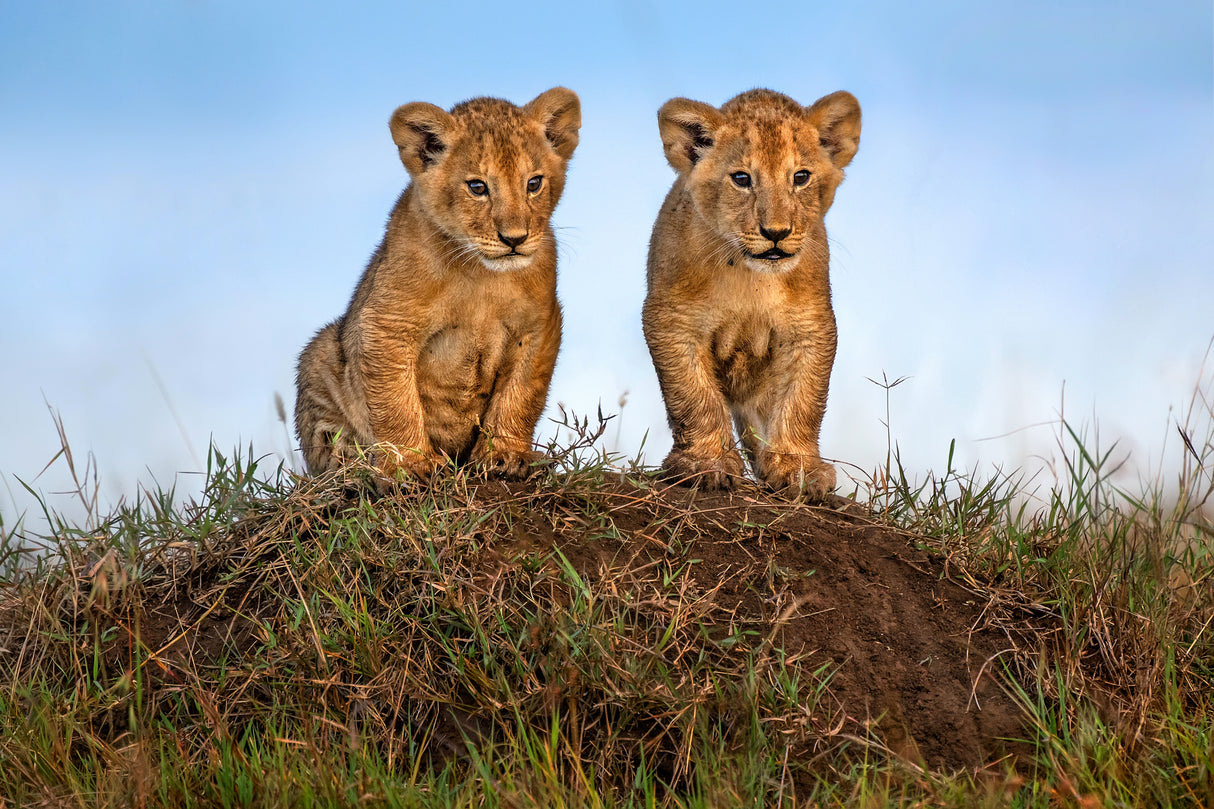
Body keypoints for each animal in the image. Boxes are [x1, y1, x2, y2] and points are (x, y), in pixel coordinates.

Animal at [294, 88, 581, 481]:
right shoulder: (386, 323)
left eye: (533, 183)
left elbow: (520, 394)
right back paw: (350, 464)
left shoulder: (539, 324)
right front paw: (411, 464)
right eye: (477, 187)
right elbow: (396, 402)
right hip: (321, 352)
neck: (480, 274)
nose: (514, 239)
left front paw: (505, 456)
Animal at [642, 88, 861, 495]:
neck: (750, 277)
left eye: (801, 177)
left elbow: (803, 400)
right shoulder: (672, 320)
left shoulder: (810, 326)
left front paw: (797, 468)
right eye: (742, 179)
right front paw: (707, 464)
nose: (775, 232)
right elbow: (694, 397)